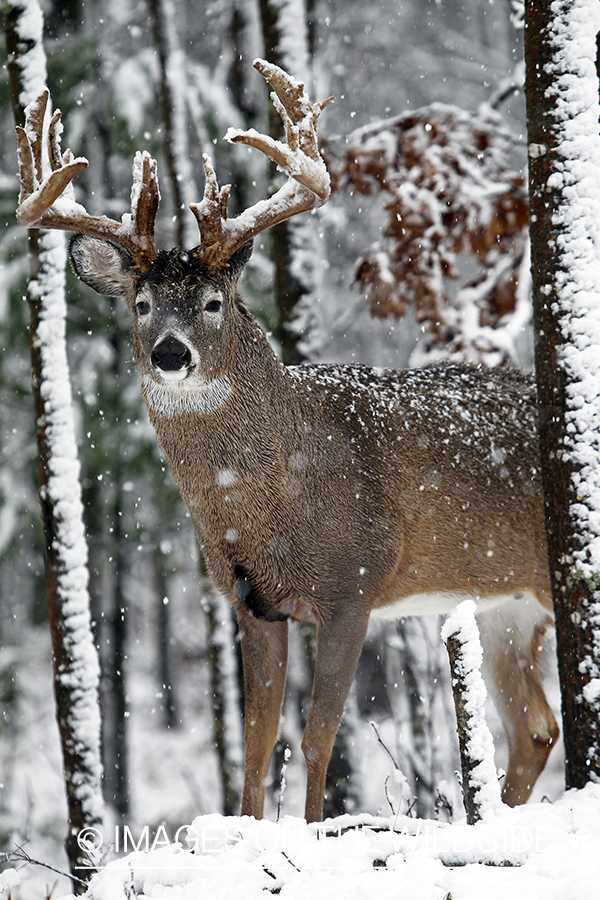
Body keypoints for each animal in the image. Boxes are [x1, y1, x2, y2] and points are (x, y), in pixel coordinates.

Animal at [17, 59, 556, 828]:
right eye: (141, 304)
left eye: (214, 302)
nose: (172, 353)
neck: (265, 504)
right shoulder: (250, 602)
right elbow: (255, 738)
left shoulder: (353, 585)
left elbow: (318, 734)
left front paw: (311, 829)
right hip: (506, 602)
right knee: (536, 727)